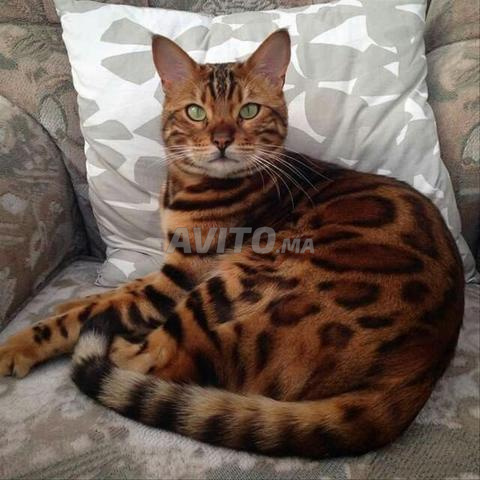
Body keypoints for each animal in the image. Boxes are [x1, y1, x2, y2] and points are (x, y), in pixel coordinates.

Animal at [0, 29, 464, 458]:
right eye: (195, 112)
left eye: (249, 110)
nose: (222, 139)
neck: (186, 186)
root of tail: (414, 377)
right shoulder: (172, 265)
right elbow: (119, 290)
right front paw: (73, 300)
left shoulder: (183, 276)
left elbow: (94, 313)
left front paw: (18, 345)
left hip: (239, 276)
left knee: (160, 358)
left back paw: (114, 343)